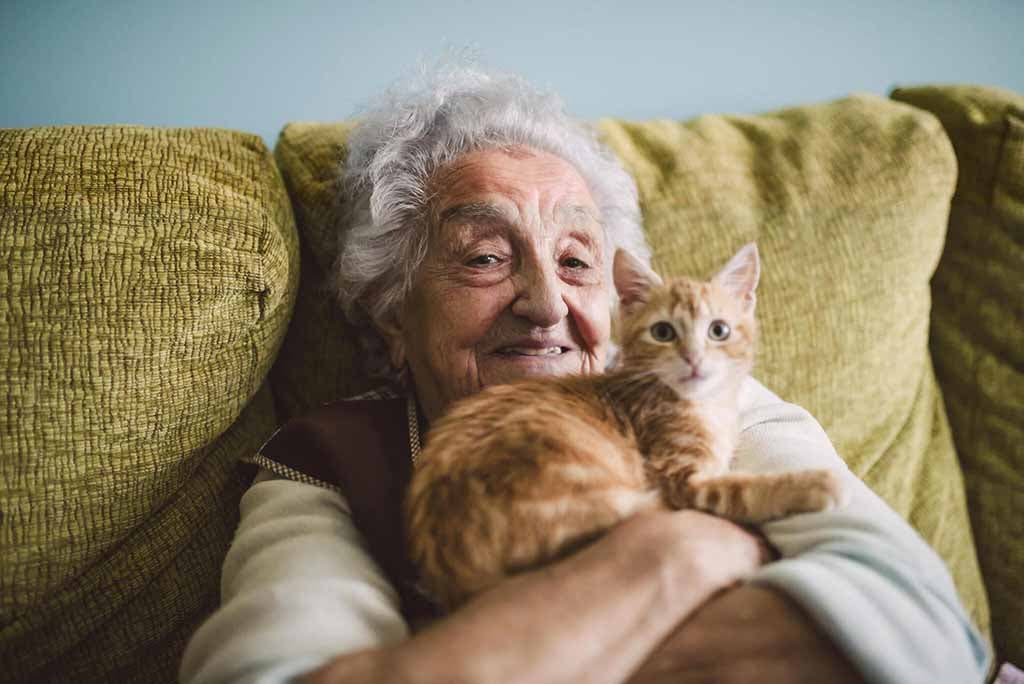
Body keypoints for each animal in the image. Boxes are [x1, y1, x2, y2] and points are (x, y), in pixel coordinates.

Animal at [405, 242, 847, 606]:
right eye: (663, 332)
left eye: (718, 330)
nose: (693, 358)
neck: (702, 406)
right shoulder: (681, 480)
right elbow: (742, 490)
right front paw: (814, 483)